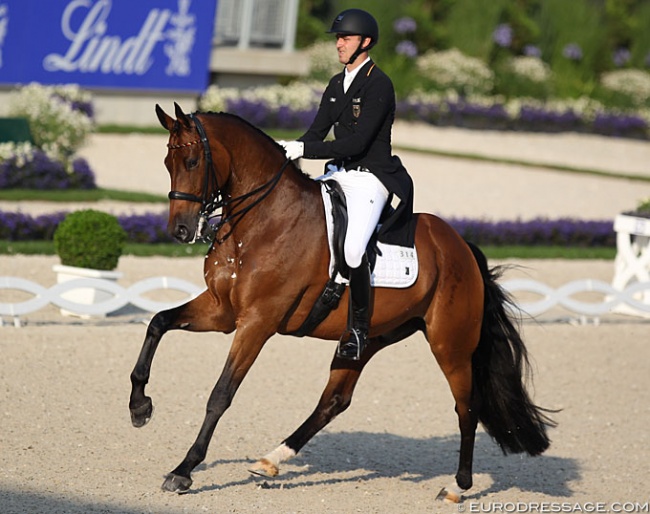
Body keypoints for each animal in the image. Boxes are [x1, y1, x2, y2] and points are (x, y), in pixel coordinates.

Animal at [129, 103, 556, 500]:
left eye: (192, 161)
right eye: (167, 163)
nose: (181, 230)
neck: (263, 221)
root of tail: (462, 247)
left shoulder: (257, 322)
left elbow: (220, 394)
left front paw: (184, 470)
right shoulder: (223, 311)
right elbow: (158, 322)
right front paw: (139, 407)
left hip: (449, 345)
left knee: (466, 407)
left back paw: (457, 486)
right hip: (371, 338)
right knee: (335, 399)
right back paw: (270, 460)